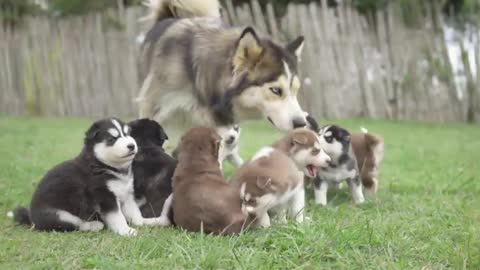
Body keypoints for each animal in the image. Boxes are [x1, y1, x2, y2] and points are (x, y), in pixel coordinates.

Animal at [8, 118, 166, 236]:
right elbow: (118, 217)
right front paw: (126, 231)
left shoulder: (126, 194)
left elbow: (135, 213)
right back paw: (94, 225)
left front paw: (146, 222)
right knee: (74, 225)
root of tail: (32, 219)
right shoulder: (105, 197)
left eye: (127, 134)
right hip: (59, 215)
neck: (104, 165)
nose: (132, 145)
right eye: (111, 139)